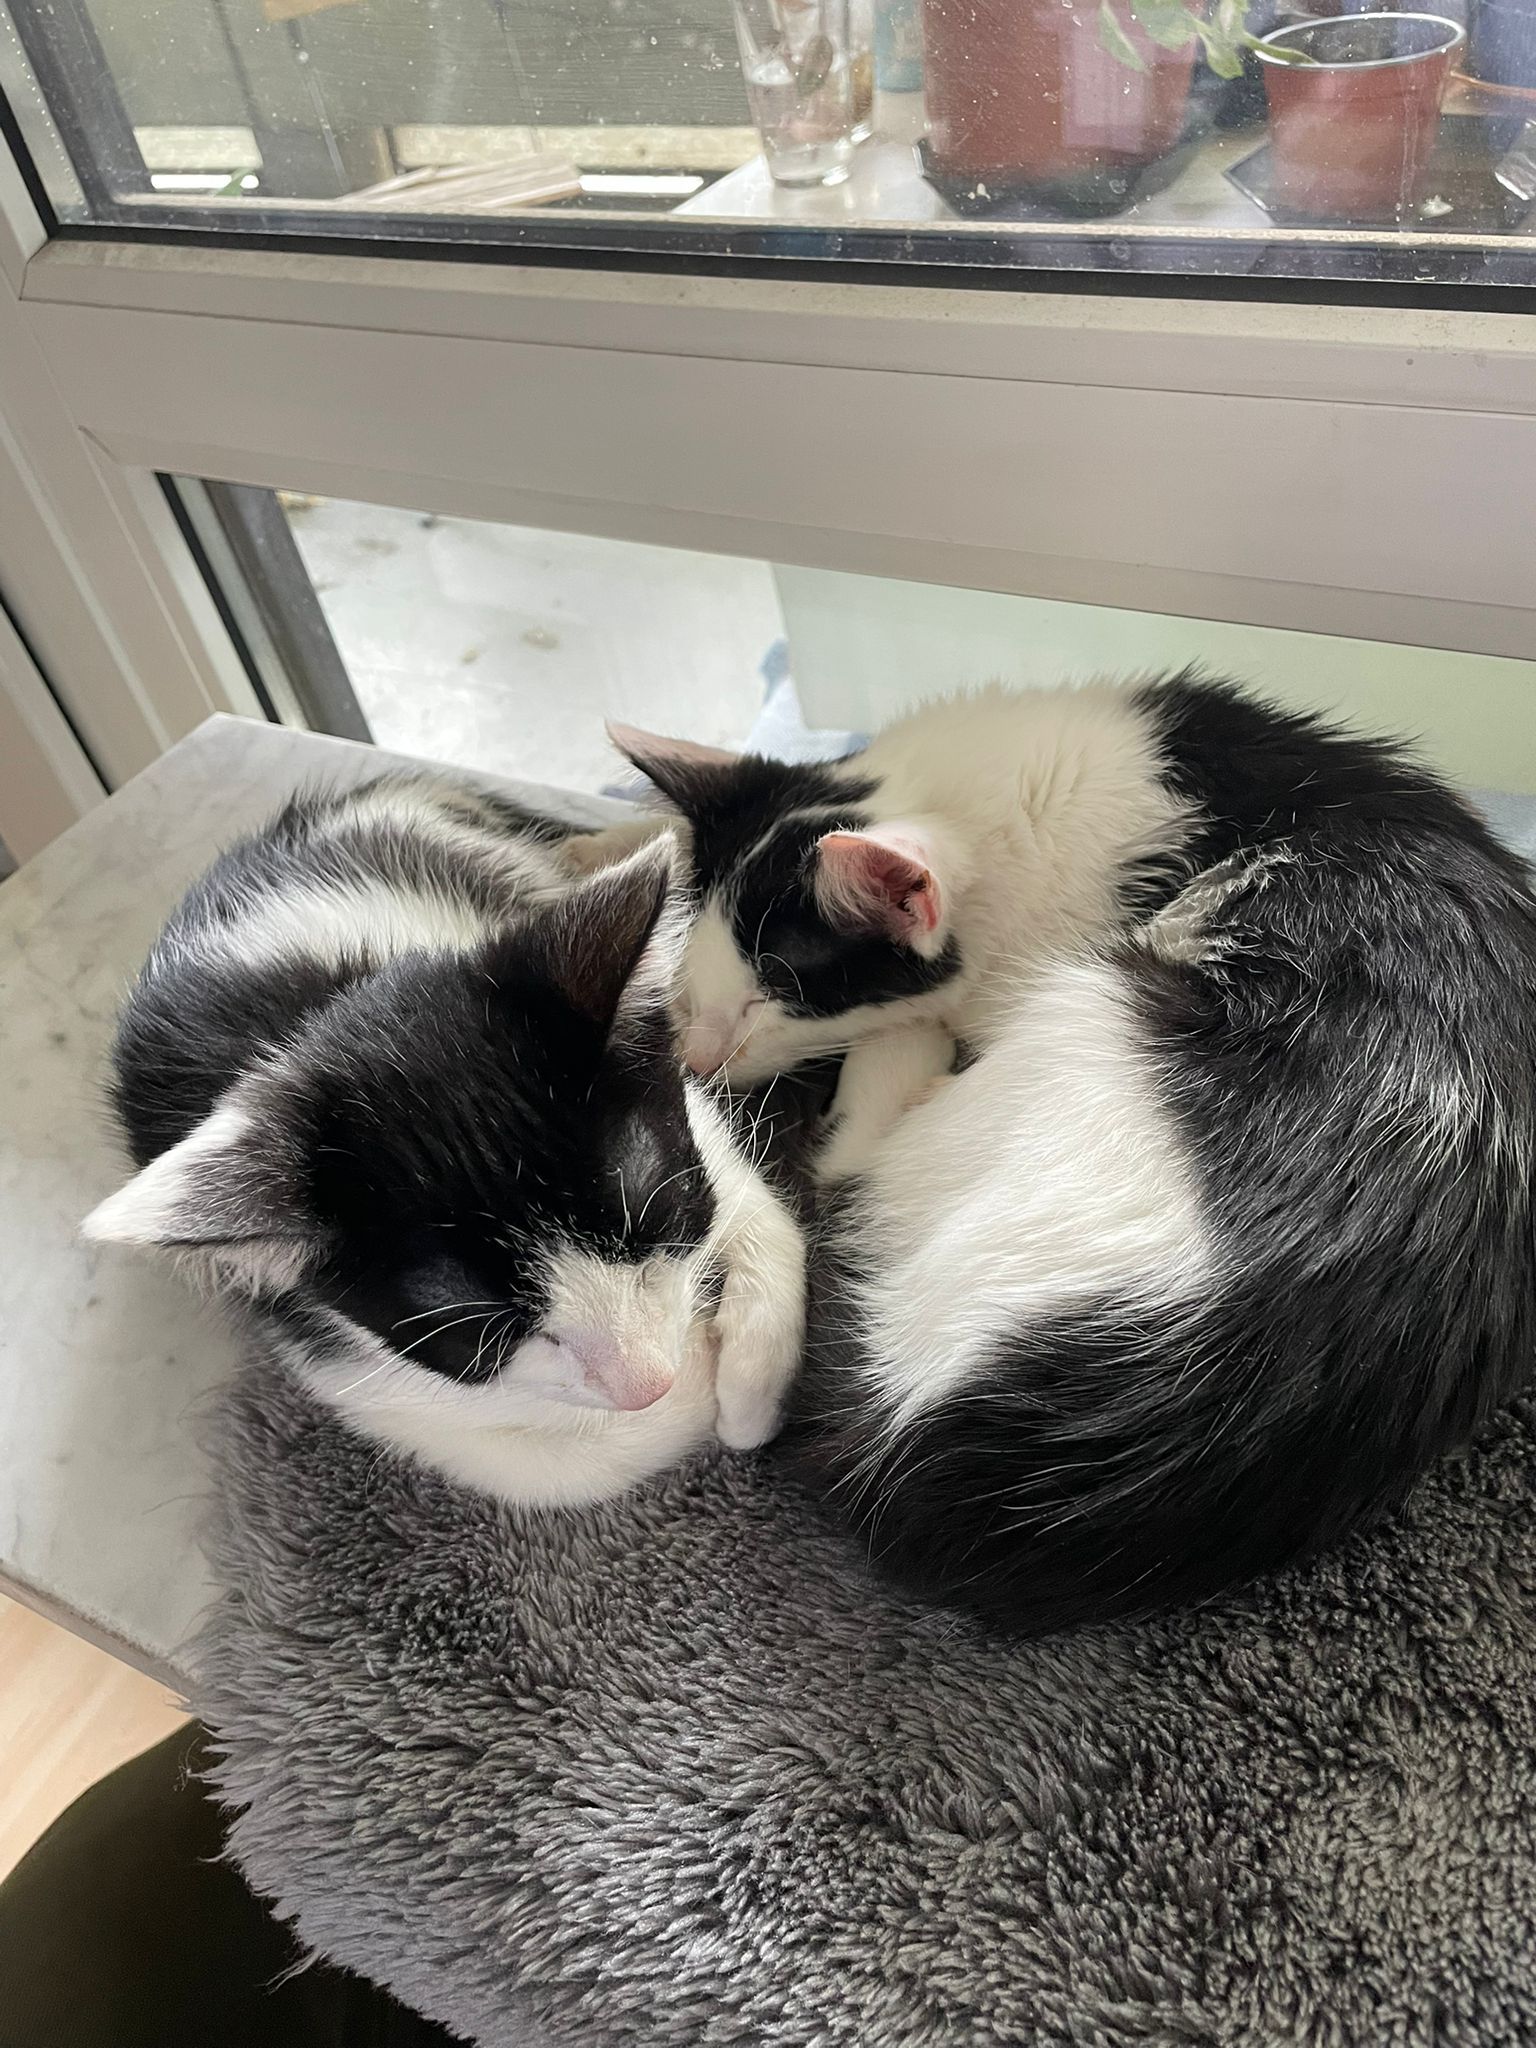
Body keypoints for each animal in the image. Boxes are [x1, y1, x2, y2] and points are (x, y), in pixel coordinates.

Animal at [83, 774, 805, 1511]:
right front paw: (698, 1386)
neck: (322, 1013)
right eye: (485, 1329)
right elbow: (555, 1459)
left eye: (652, 1220)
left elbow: (731, 1182)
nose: (650, 1379)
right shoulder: (318, 1339)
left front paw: (749, 1382)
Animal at [614, 674, 1536, 1630]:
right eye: (699, 985)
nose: (699, 1058)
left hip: (1081, 1014)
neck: (1007, 808)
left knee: (850, 1167)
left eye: (770, 1001)